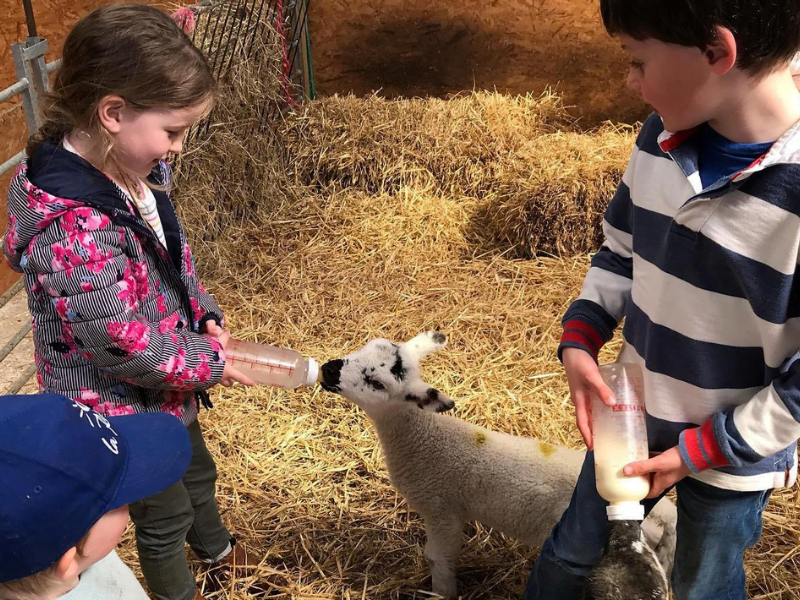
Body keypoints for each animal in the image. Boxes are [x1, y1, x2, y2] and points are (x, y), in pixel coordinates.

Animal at [318, 330, 676, 596]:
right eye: (362, 349)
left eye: (377, 383)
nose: (327, 369)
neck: (424, 438)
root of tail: (665, 513)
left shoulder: (441, 508)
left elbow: (439, 558)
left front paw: (440, 592)